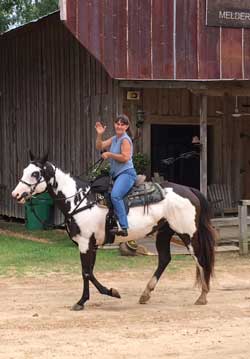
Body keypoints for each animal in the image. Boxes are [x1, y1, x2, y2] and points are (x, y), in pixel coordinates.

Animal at [11, 153, 216, 310]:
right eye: (24, 171)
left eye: (35, 173)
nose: (16, 194)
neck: (80, 200)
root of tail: (189, 189)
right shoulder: (91, 244)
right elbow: (89, 271)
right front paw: (92, 297)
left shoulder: (85, 243)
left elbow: (86, 272)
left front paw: (99, 296)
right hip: (164, 232)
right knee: (165, 259)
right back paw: (145, 294)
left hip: (187, 233)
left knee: (199, 258)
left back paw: (203, 296)